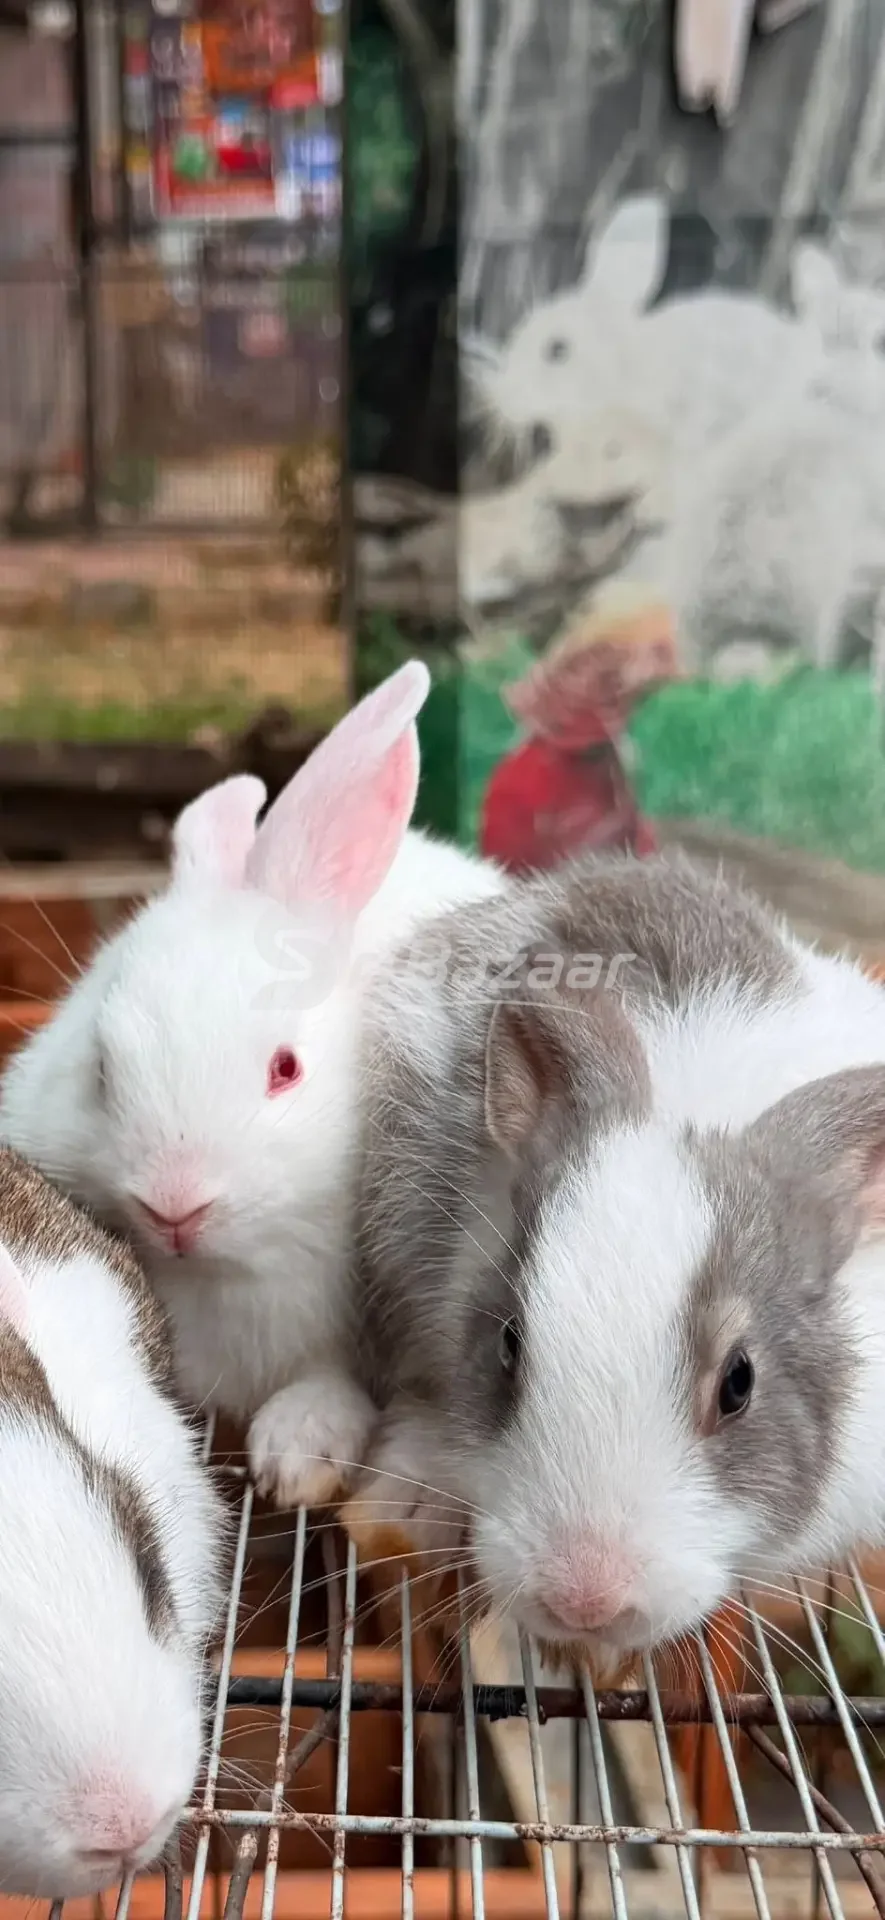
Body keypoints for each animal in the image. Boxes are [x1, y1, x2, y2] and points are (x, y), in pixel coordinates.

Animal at [0, 663, 506, 1512]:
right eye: (101, 1067)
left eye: (285, 1069)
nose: (173, 1205)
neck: (228, 1273)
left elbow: (333, 1385)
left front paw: (295, 1456)